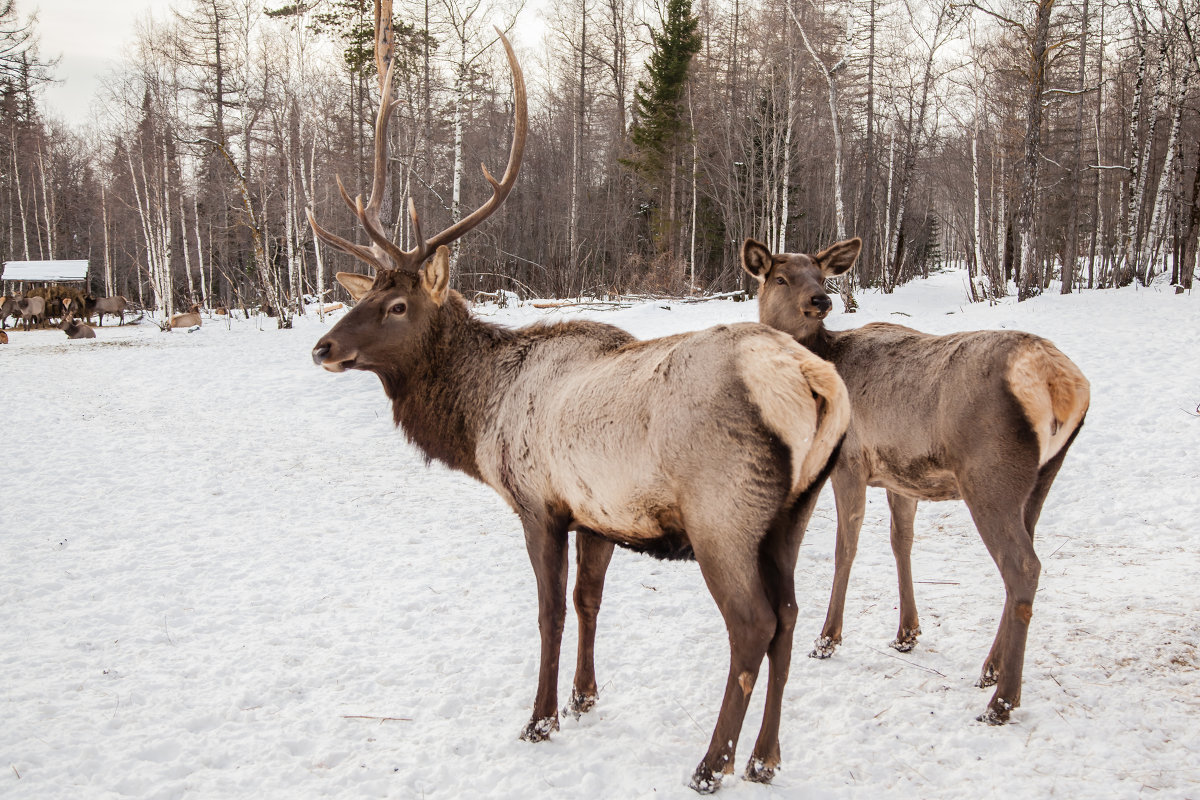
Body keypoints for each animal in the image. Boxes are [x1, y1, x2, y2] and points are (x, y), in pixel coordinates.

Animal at [309, 15, 854, 791]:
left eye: (397, 305)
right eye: (366, 295)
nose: (323, 347)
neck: (481, 413)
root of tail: (816, 382)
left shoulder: (539, 502)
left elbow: (549, 613)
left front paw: (540, 718)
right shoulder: (599, 513)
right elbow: (589, 601)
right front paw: (584, 696)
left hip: (724, 511)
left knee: (753, 623)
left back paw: (711, 762)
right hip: (794, 511)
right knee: (789, 612)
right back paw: (764, 757)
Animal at [734, 236, 1094, 724]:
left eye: (821, 274)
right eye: (781, 277)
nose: (821, 300)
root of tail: (1064, 383)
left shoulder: (849, 463)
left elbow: (845, 548)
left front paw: (827, 639)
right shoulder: (901, 479)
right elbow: (900, 542)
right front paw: (906, 633)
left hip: (990, 476)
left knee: (1023, 566)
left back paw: (1001, 701)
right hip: (1041, 478)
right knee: (1021, 562)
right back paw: (990, 669)